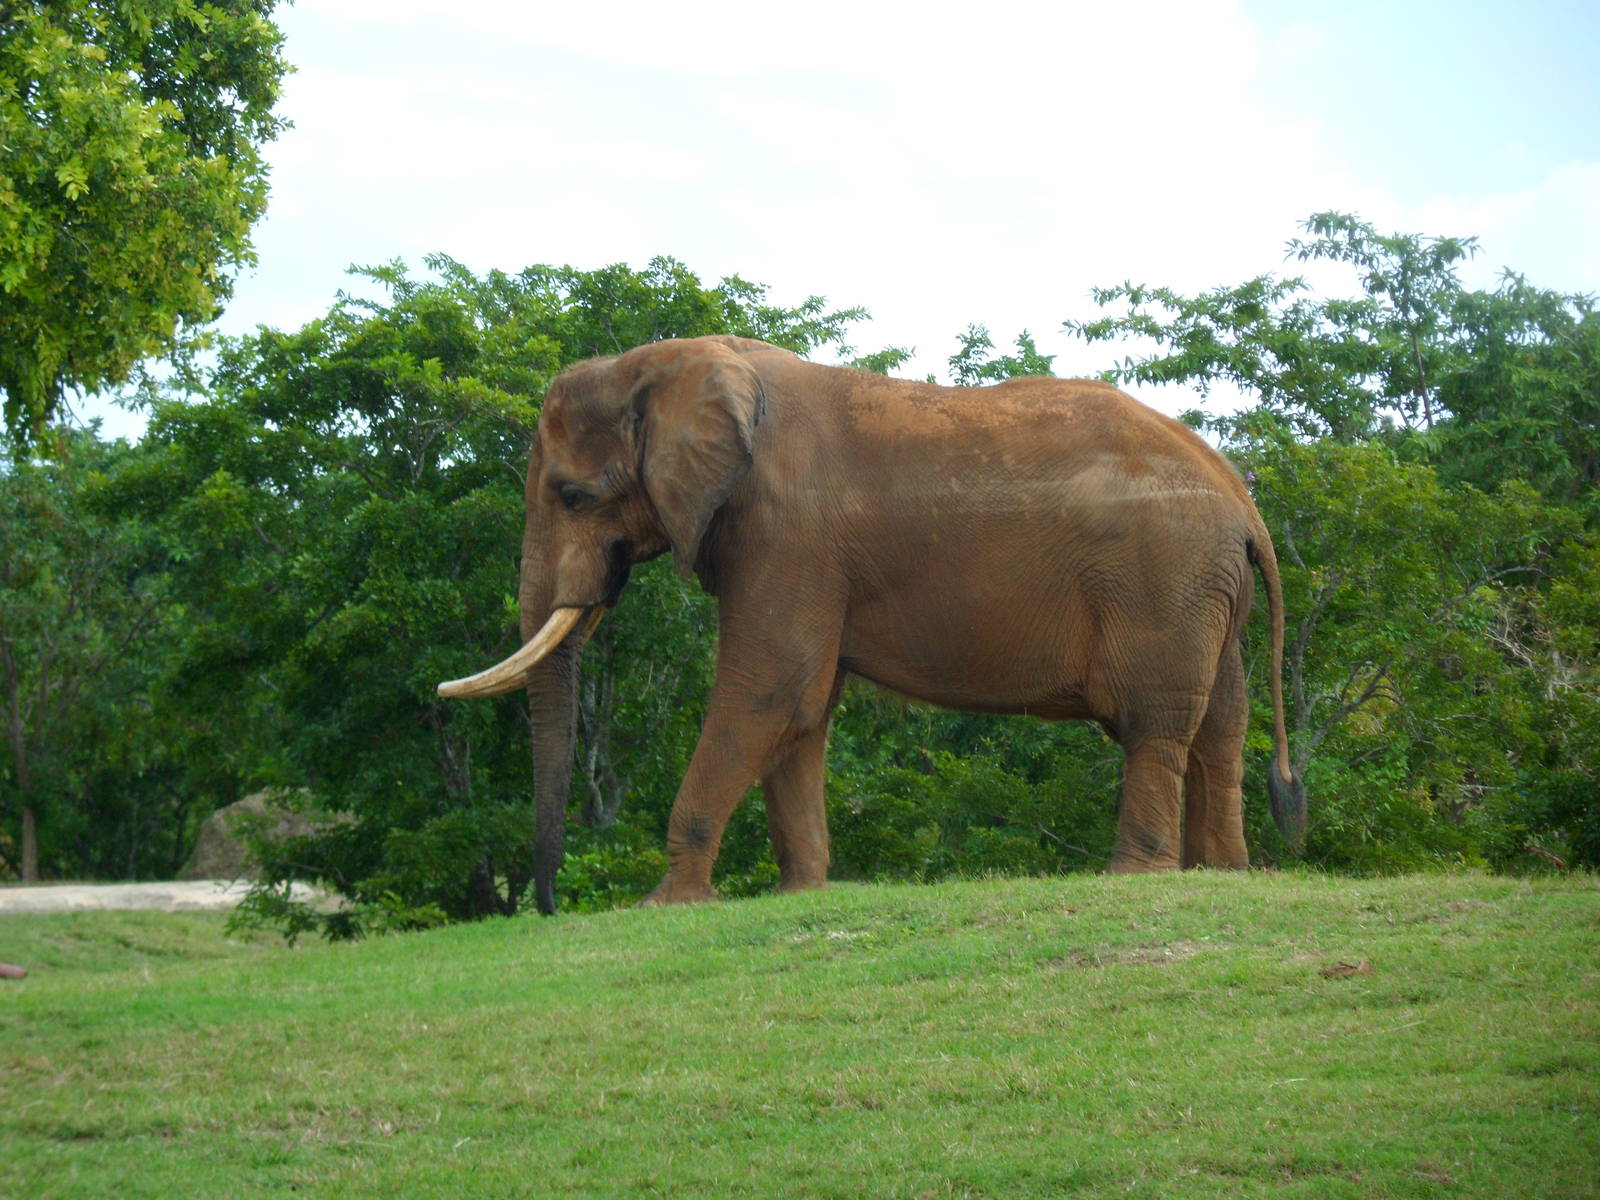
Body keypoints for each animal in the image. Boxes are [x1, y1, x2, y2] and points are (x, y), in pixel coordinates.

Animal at [439, 334, 1305, 914]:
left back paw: (1134, 877)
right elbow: (801, 711)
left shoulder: (784, 534)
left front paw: (667, 904)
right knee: (1222, 725)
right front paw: (801, 892)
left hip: (1164, 581)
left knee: (1157, 724)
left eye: (572, 496)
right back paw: (1223, 873)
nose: (547, 907)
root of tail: (1244, 500)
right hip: (1207, 592)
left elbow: (768, 691)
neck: (673, 363)